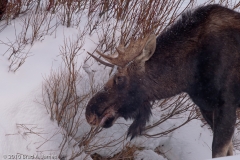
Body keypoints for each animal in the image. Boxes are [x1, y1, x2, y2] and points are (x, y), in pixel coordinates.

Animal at [85, 4, 240, 158]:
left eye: (119, 78)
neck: (190, 76)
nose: (89, 112)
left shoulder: (226, 105)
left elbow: (219, 151)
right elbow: (229, 150)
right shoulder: (206, 107)